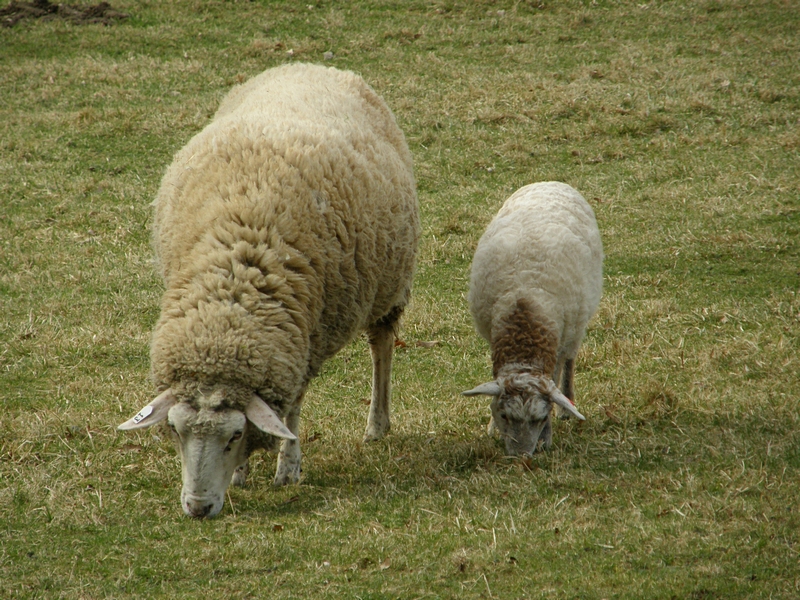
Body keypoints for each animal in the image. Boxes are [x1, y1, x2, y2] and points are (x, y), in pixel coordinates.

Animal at [120, 63, 418, 516]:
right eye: (176, 431)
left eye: (234, 435)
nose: (198, 508)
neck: (231, 302)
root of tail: (309, 65)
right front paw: (242, 476)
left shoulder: (305, 341)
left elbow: (290, 411)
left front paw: (288, 468)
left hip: (389, 284)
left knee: (381, 347)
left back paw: (377, 424)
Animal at [462, 180, 600, 458]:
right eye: (504, 415)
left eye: (540, 418)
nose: (521, 457)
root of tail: (550, 181)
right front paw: (491, 426)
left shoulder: (558, 340)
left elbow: (556, 375)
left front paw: (547, 436)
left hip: (576, 326)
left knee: (569, 362)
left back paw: (567, 405)